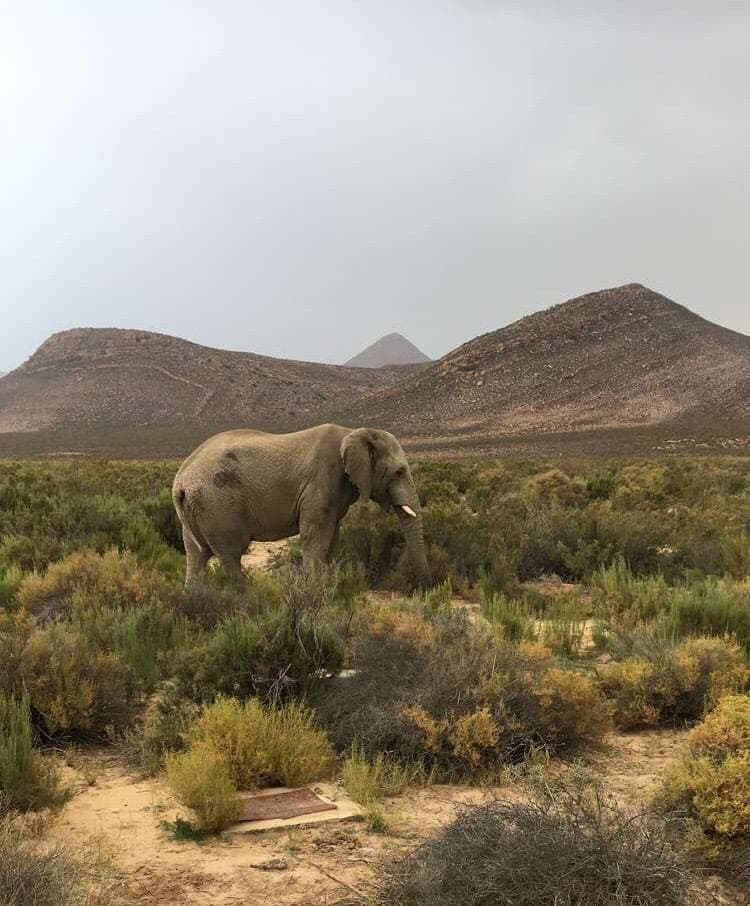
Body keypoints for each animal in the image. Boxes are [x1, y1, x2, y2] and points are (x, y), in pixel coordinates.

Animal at [172, 423, 431, 588]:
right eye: (399, 472)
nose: (426, 585)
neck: (354, 432)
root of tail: (181, 480)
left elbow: (332, 538)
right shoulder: (323, 480)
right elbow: (315, 536)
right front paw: (315, 592)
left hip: (198, 508)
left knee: (196, 556)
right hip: (218, 505)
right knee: (231, 554)